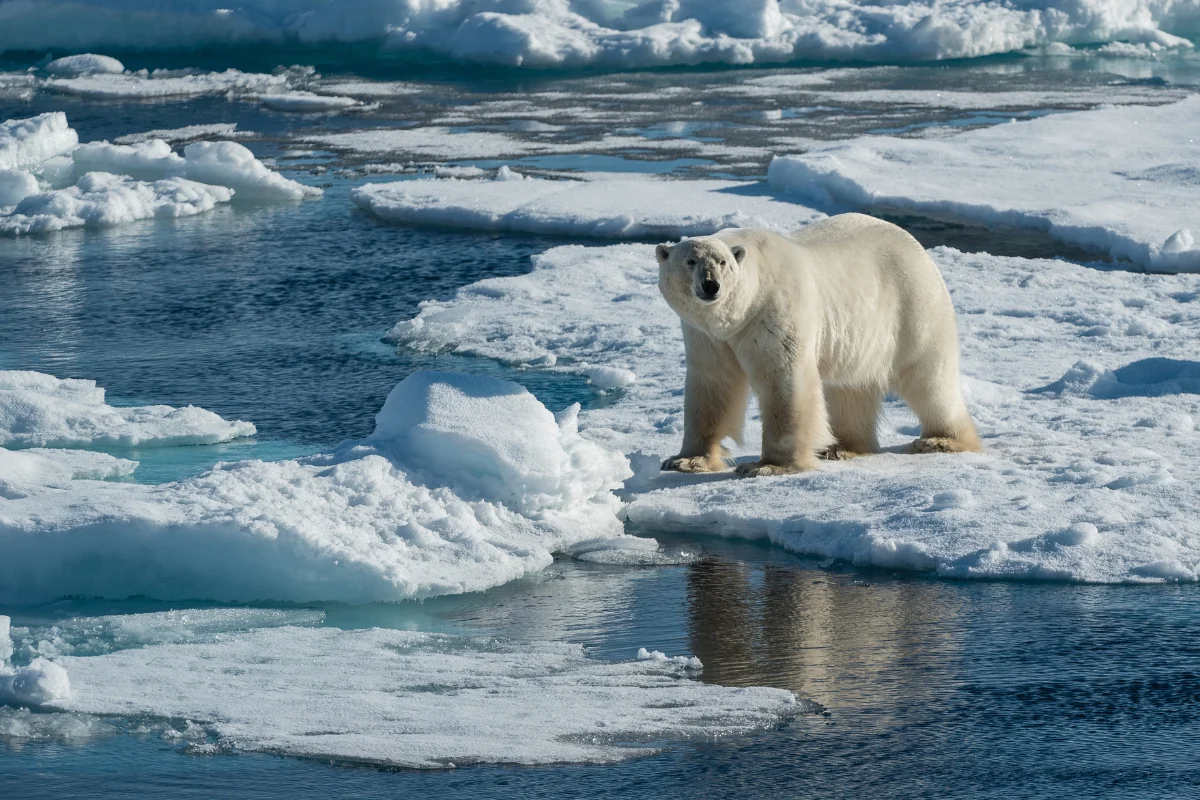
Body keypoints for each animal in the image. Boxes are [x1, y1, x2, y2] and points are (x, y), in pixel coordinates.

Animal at [662, 212, 979, 474]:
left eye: (723, 263)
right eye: (690, 261)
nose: (710, 285)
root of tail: (916, 246)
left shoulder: (774, 312)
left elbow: (784, 381)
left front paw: (768, 465)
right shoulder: (706, 336)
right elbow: (713, 385)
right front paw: (687, 460)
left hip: (912, 305)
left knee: (929, 377)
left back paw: (940, 440)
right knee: (851, 387)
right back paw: (843, 447)